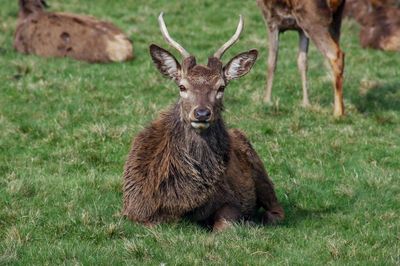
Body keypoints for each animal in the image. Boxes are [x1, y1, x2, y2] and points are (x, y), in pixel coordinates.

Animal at [123, 13, 282, 232]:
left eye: (221, 87)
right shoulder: (136, 210)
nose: (201, 113)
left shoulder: (232, 200)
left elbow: (224, 225)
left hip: (260, 171)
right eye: (182, 86)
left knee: (276, 210)